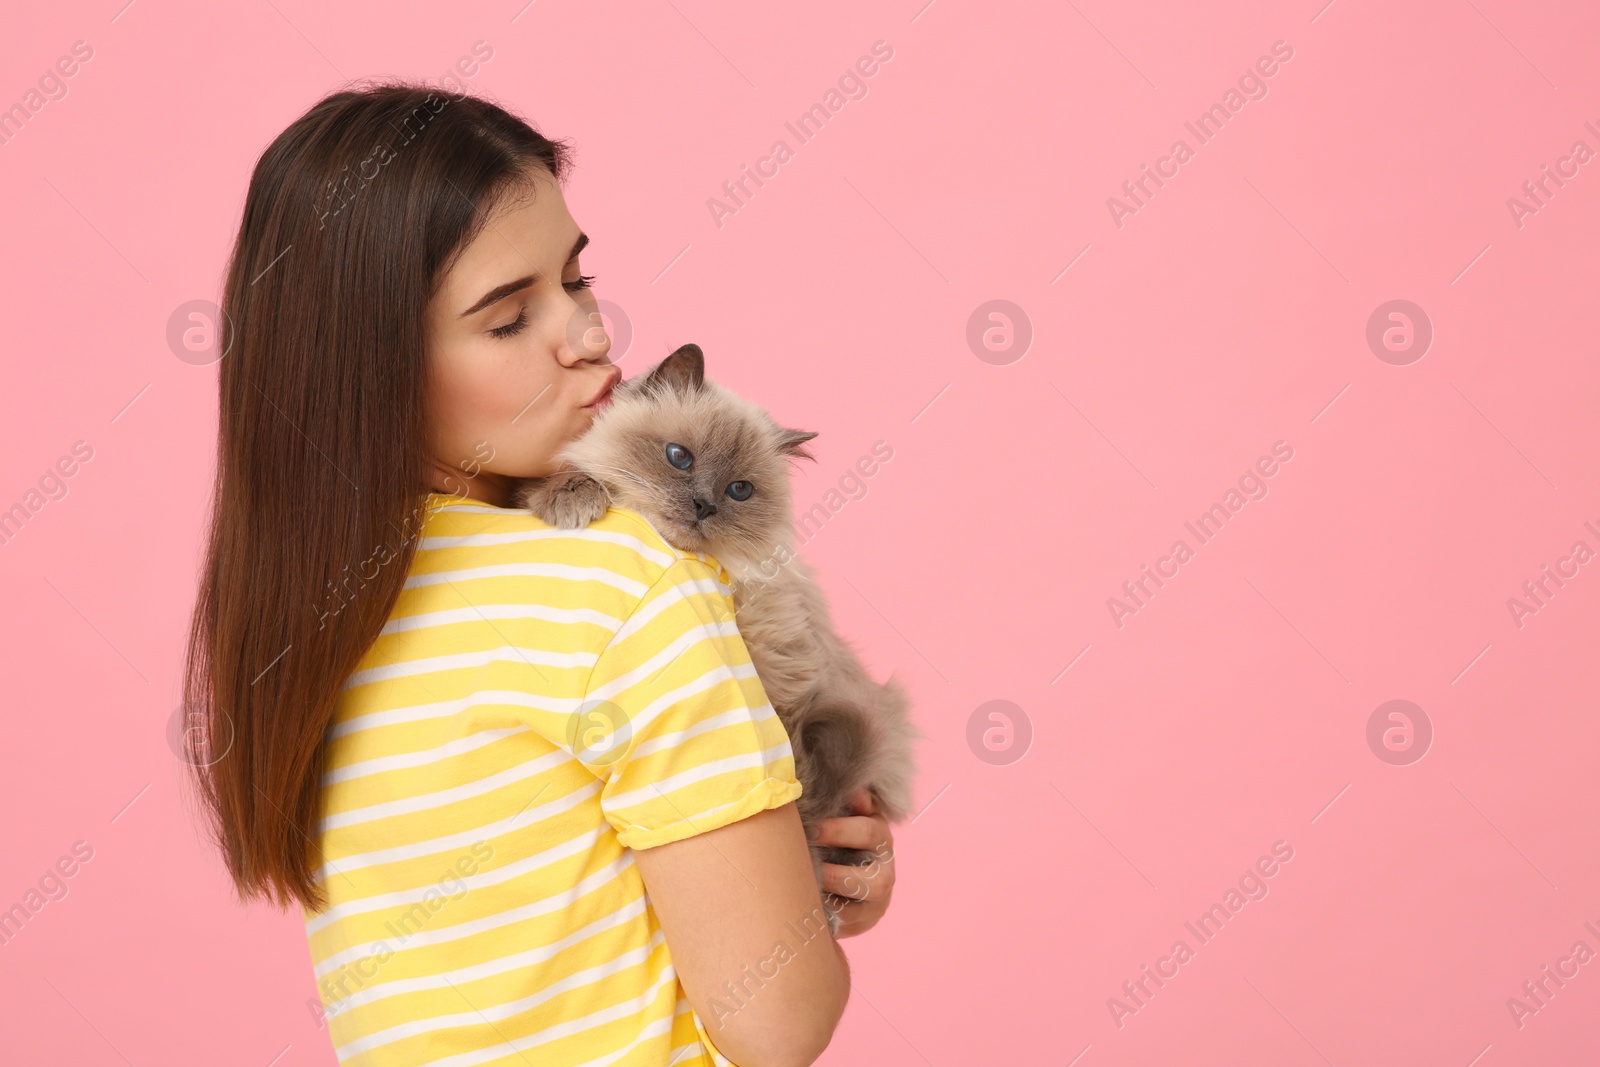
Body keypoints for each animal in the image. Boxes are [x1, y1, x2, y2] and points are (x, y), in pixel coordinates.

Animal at [518, 343, 921, 934]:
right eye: (679, 457)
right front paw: (570, 497)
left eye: (739, 491)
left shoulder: (786, 685)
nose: (705, 504)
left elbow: (800, 810)